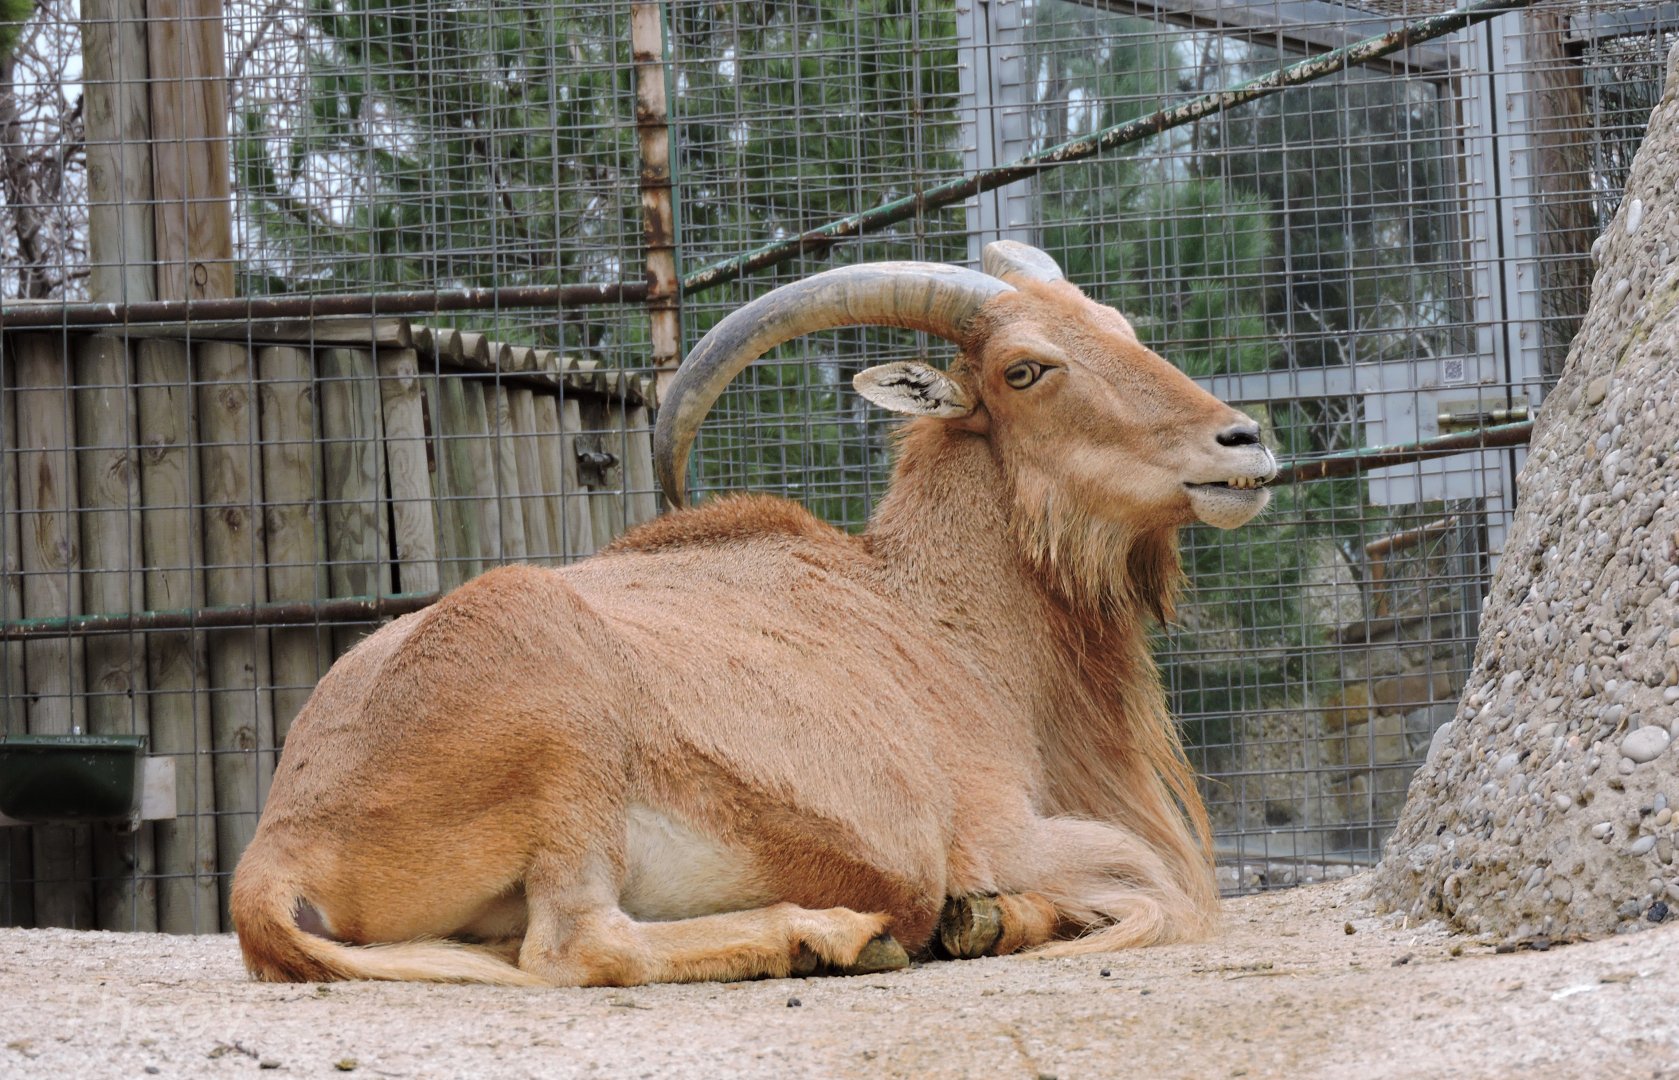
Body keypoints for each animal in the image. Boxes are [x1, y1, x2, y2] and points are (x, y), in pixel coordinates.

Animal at [230, 241, 1277, 987]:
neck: (946, 625)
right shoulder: (1001, 832)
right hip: (563, 738)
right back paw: (825, 934)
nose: (1243, 441)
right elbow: (1155, 883)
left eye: (1116, 324)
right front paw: (983, 920)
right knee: (580, 945)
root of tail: (277, 851)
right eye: (1026, 370)